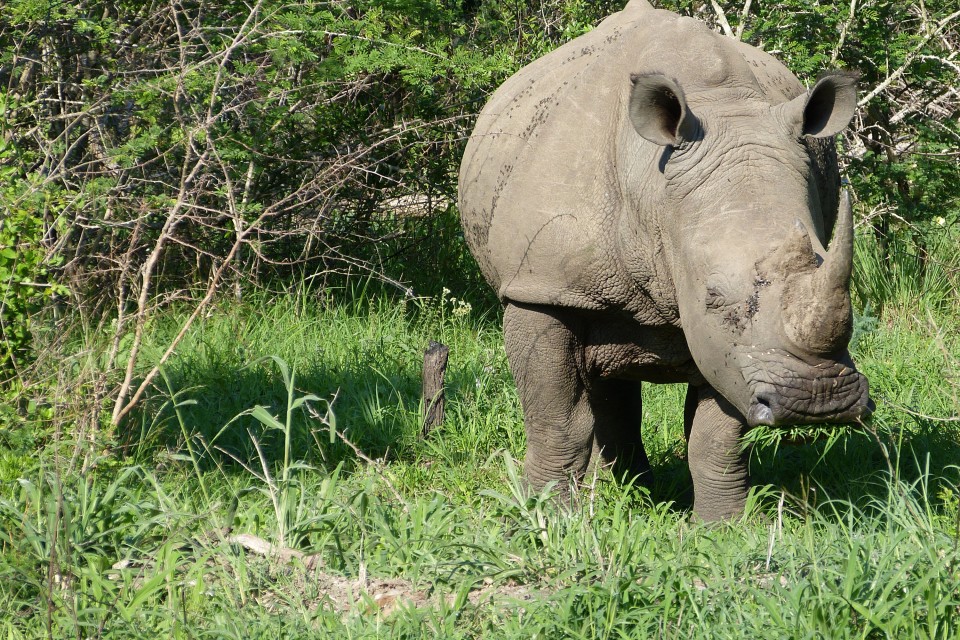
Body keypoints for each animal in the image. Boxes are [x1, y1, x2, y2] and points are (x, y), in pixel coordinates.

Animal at [458, 0, 873, 520]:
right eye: (713, 294)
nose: (819, 399)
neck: (653, 190)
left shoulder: (733, 349)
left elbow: (716, 436)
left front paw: (722, 528)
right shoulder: (542, 285)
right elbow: (556, 419)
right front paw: (545, 519)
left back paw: (625, 493)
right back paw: (612, 497)